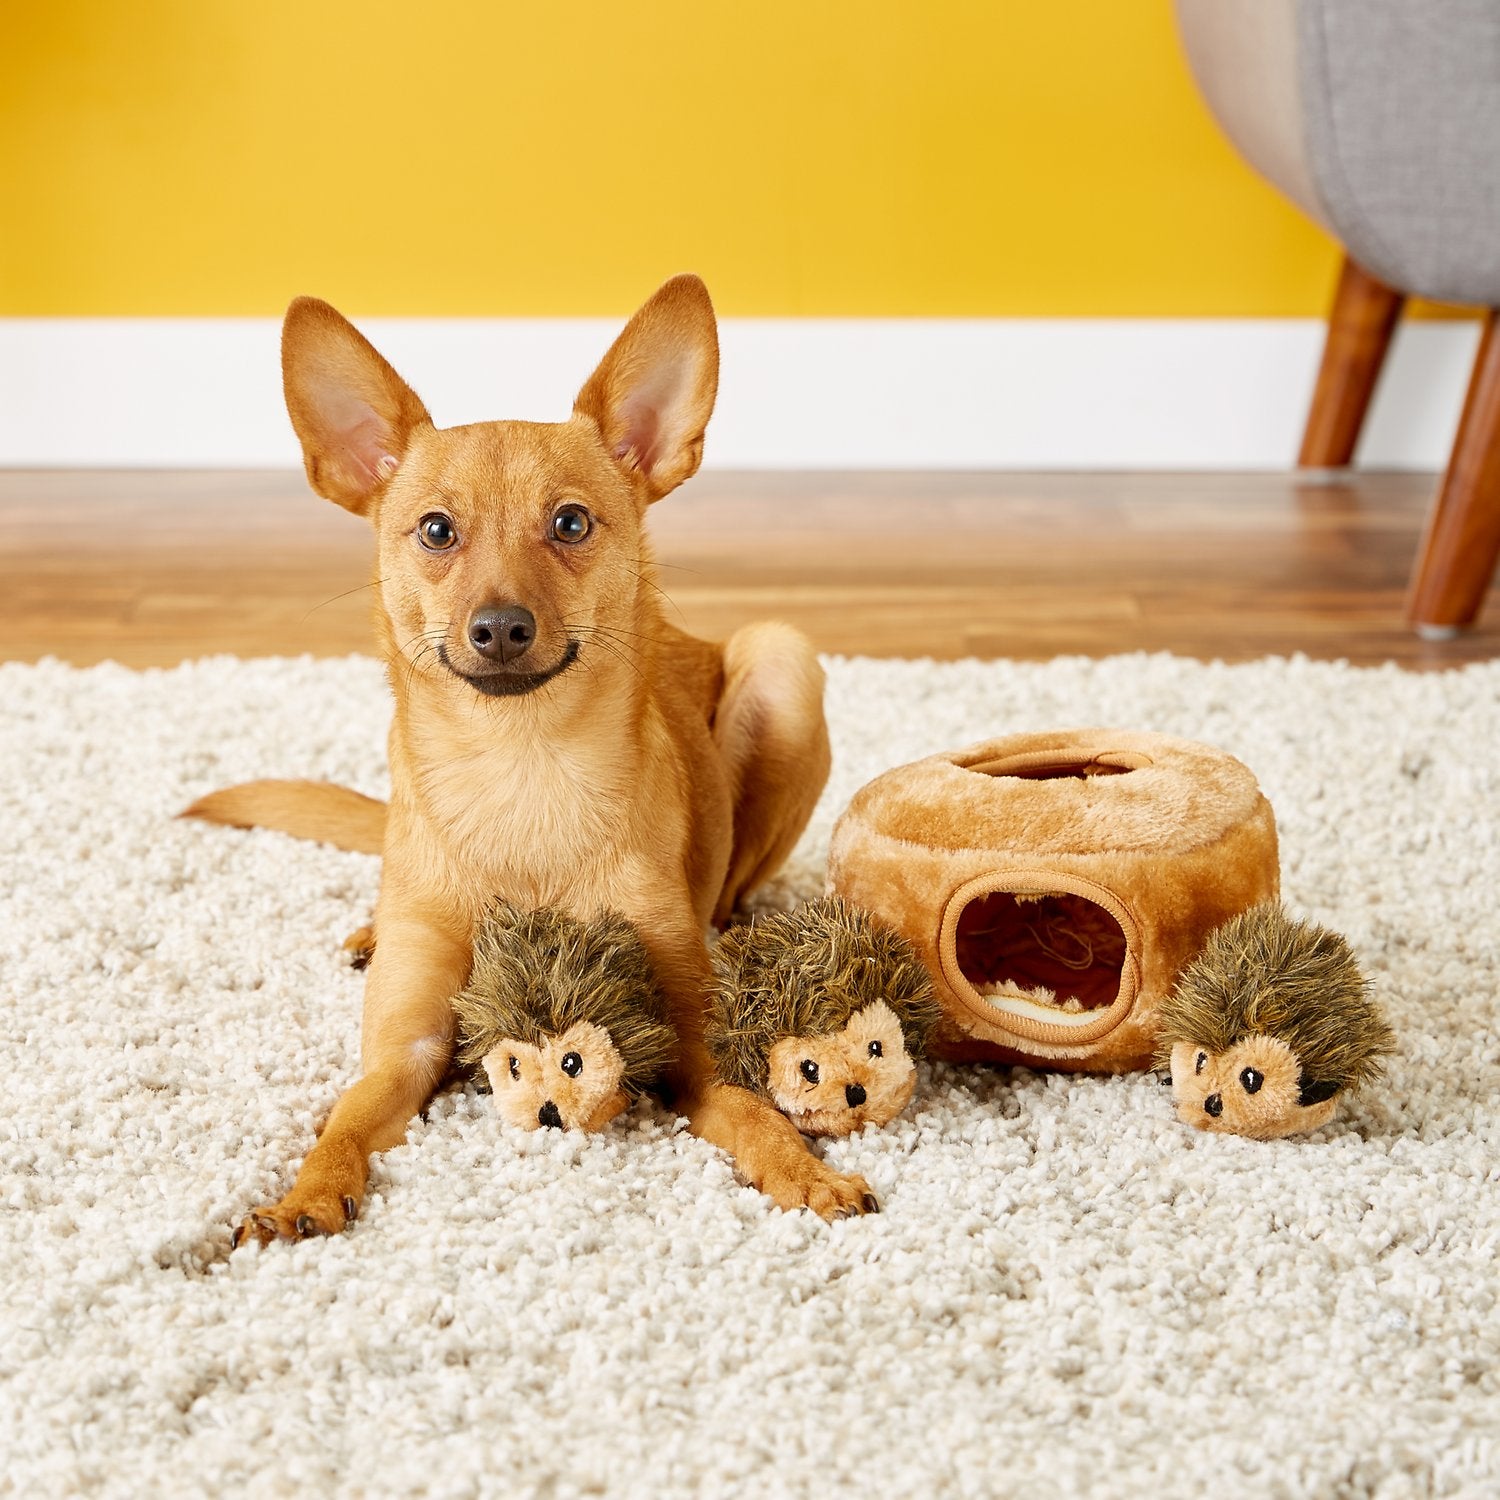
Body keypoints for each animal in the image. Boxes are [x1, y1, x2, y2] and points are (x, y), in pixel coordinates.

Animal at [183, 273, 876, 1242]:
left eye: (572, 522)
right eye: (436, 531)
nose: (501, 627)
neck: (522, 769)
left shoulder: (693, 1048)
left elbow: (750, 1110)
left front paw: (804, 1172)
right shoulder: (404, 1050)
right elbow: (345, 1123)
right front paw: (302, 1198)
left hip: (783, 660)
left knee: (738, 882)